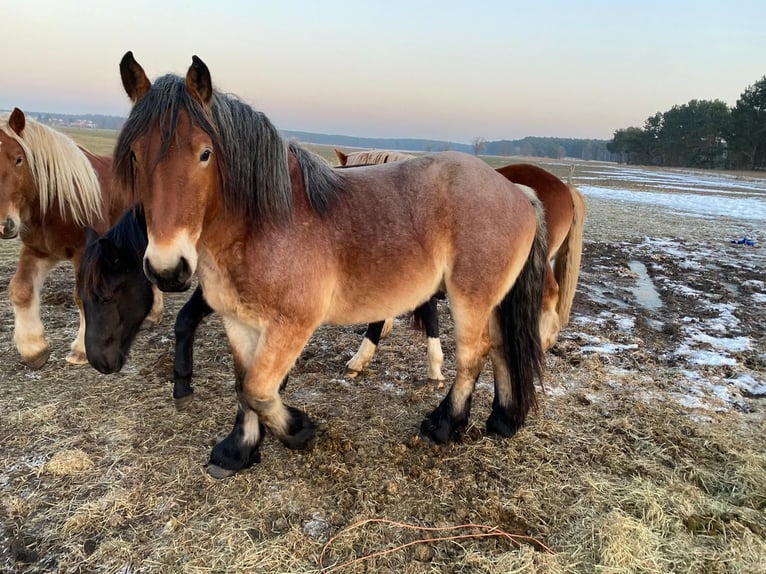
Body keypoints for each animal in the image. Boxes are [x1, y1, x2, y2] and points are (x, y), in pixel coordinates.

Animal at [0, 108, 155, 368]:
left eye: (19, 159)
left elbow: (82, 296)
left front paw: (81, 350)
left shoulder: (84, 252)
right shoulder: (37, 251)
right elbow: (21, 289)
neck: (57, 200)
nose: (5, 224)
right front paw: (34, 349)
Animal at [114, 52, 547, 479]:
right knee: (501, 347)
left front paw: (298, 430)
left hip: (468, 298)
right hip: (490, 300)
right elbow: (243, 385)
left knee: (473, 356)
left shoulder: (291, 324)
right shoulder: (237, 321)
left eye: (205, 153)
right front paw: (237, 451)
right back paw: (503, 419)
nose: (167, 268)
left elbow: (258, 389)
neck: (264, 223)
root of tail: (518, 192)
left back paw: (444, 425)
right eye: (135, 154)